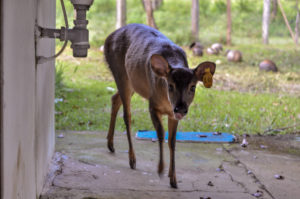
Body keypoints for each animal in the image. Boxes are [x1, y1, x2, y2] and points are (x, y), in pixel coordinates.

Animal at [103, 23, 216, 188]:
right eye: (170, 85)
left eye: (193, 87)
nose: (181, 108)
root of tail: (108, 38)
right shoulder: (153, 105)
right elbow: (161, 135)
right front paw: (161, 169)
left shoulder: (173, 114)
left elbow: (173, 142)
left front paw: (173, 178)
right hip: (120, 73)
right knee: (127, 115)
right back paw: (132, 159)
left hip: (133, 83)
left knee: (114, 98)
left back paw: (110, 144)